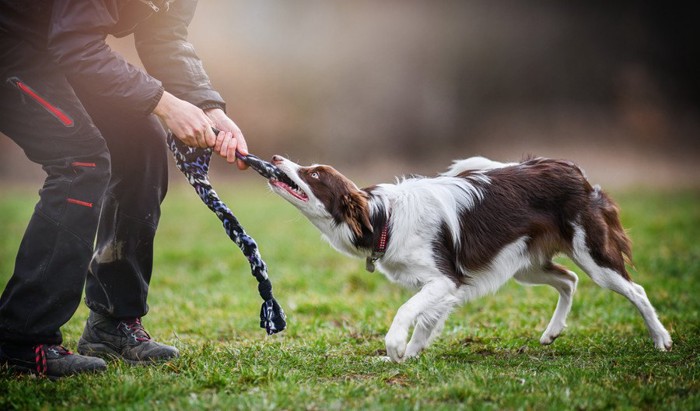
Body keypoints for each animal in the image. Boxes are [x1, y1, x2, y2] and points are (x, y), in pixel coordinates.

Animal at [266, 155, 672, 364]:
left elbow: (407, 312)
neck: (385, 219)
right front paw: (409, 356)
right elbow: (425, 322)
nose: (274, 158)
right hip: (525, 265)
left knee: (635, 290)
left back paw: (661, 340)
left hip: (593, 256)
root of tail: (573, 169)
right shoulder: (444, 285)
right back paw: (552, 331)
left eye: (314, 174)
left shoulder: (444, 279)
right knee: (568, 280)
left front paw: (395, 346)